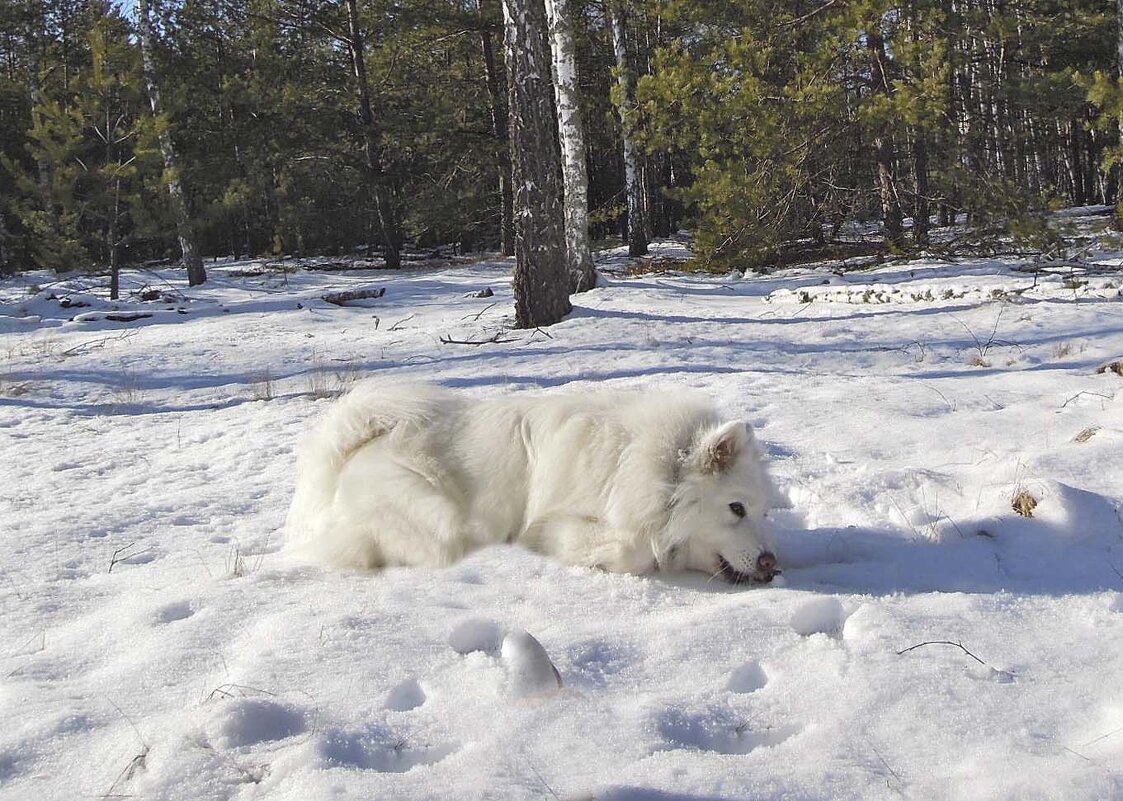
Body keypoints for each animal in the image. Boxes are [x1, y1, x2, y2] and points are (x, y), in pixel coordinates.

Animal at [287, 381, 781, 579]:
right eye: (735, 508)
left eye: (764, 513)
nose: (769, 562)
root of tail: (351, 449)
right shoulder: (559, 519)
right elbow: (632, 550)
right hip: (441, 518)